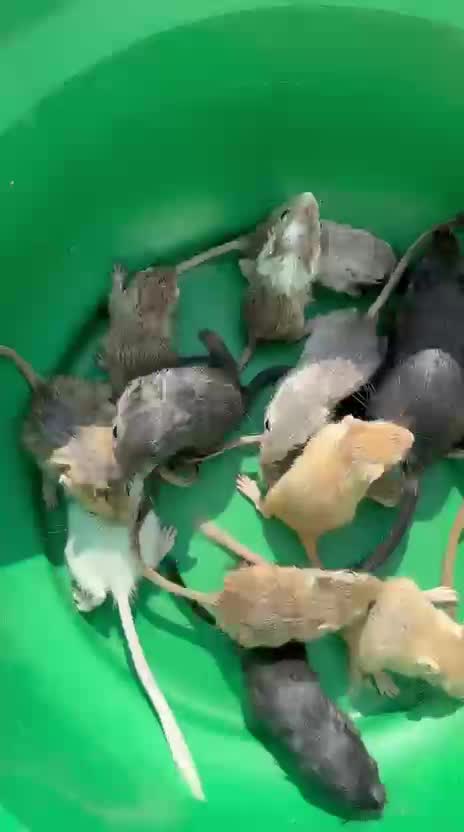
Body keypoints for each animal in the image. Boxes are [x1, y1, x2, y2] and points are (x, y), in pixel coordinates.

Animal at [64, 491, 204, 800]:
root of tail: (119, 580)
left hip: (76, 561)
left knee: (99, 595)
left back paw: (81, 600)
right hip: (146, 531)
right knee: (148, 565)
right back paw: (168, 539)